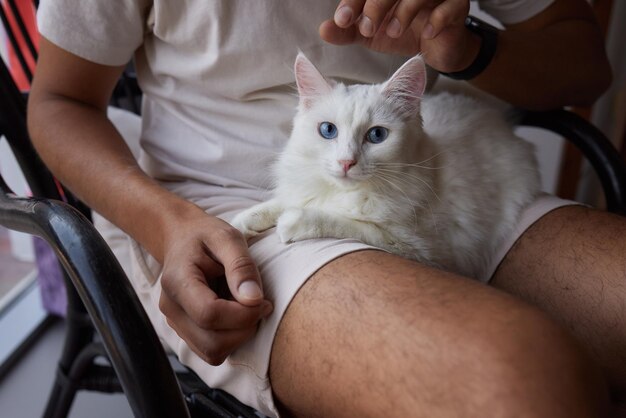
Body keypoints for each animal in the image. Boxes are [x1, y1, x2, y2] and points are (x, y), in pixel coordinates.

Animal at [232, 53, 540, 280]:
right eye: (328, 130)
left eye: (377, 135)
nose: (346, 162)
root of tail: (499, 119)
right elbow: (277, 203)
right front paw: (240, 224)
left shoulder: (418, 249)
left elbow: (347, 223)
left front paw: (294, 222)